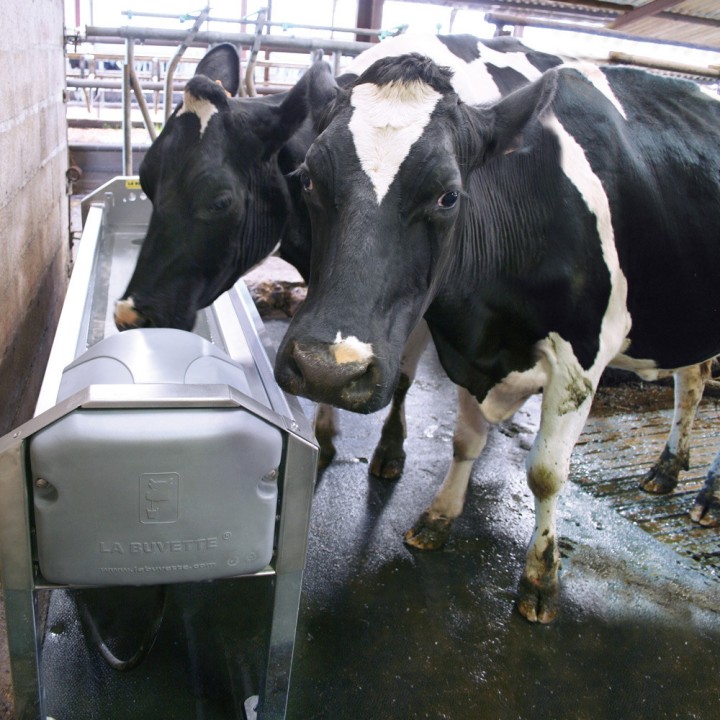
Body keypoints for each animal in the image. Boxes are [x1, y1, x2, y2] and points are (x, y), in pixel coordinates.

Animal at [112, 36, 565, 473]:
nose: (131, 315)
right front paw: (326, 434)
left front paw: (390, 448)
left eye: (221, 200)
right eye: (146, 181)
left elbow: (402, 374)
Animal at [273, 54, 720, 623]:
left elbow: (547, 472)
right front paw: (439, 517)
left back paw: (708, 496)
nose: (327, 370)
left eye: (449, 195)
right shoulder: (469, 348)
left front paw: (540, 577)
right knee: (694, 378)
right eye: (307, 178)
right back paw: (667, 469)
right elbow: (466, 439)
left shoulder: (581, 357)